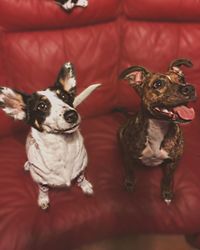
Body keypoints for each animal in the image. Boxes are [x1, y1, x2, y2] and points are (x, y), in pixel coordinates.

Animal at [0, 62, 100, 209]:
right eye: (41, 106)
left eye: (64, 97)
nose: (72, 115)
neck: (61, 146)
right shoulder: (41, 180)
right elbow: (43, 189)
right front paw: (43, 199)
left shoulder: (81, 168)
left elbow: (81, 178)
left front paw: (85, 185)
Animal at [119, 59, 195, 204]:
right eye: (158, 84)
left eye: (182, 79)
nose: (189, 88)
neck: (158, 127)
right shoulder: (129, 155)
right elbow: (130, 171)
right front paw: (130, 183)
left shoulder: (173, 162)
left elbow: (168, 178)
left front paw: (167, 193)